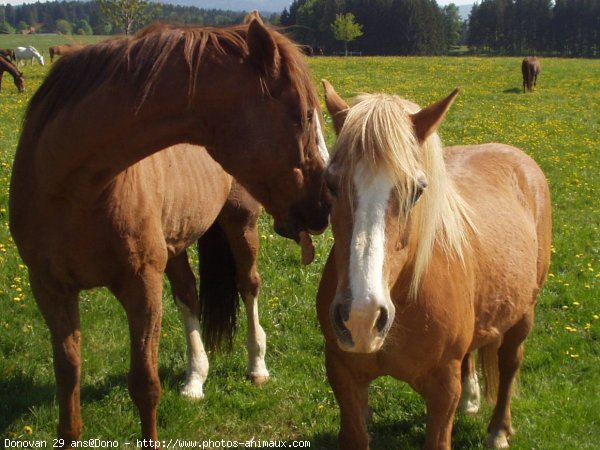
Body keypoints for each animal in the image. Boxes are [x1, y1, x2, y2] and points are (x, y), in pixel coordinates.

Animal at [9, 14, 328, 446]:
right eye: (305, 114)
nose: (327, 202)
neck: (70, 185)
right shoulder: (50, 290)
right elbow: (68, 380)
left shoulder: (141, 284)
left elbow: (144, 384)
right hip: (175, 243)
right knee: (189, 295)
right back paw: (195, 378)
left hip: (241, 222)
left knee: (249, 285)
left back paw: (257, 365)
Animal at [316, 81, 552, 450]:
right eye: (330, 184)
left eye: (417, 190)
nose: (361, 317)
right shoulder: (343, 374)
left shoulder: (442, 389)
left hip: (524, 311)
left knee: (511, 361)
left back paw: (499, 429)